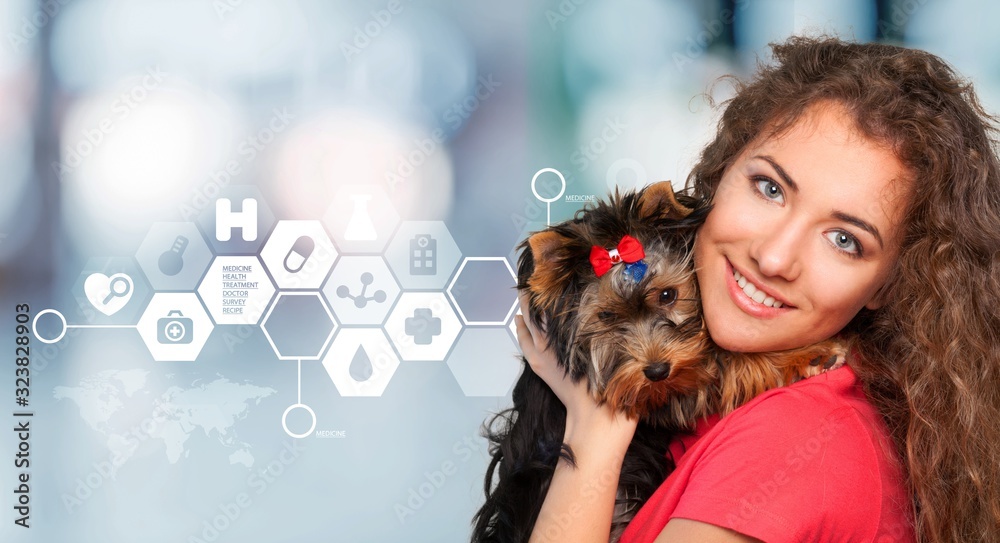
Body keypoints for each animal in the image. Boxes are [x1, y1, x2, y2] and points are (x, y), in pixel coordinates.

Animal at [472, 183, 848, 543]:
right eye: (607, 317)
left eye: (668, 295)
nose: (656, 371)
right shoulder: (653, 396)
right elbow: (719, 365)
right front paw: (808, 354)